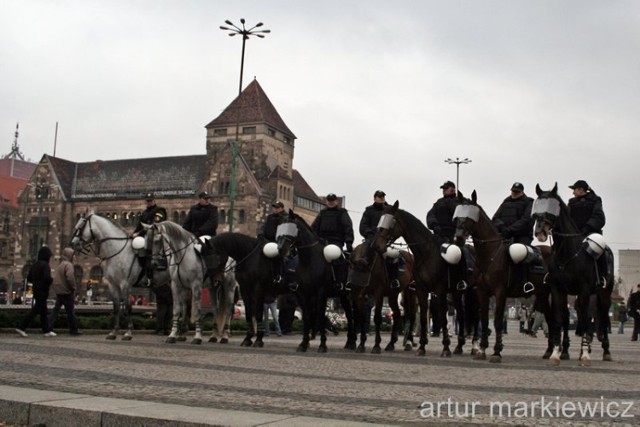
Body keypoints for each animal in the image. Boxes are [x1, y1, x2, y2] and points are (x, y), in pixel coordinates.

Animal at [71, 213, 169, 342]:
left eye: (81, 226)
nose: (73, 243)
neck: (117, 251)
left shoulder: (125, 285)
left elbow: (128, 307)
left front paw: (128, 332)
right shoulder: (113, 285)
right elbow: (116, 307)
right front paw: (114, 332)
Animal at [276, 211, 356, 354]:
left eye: (291, 226)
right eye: (280, 226)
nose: (281, 249)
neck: (309, 260)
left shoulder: (321, 292)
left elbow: (320, 316)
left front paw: (322, 345)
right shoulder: (303, 294)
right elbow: (307, 316)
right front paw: (303, 343)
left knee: (352, 316)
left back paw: (352, 343)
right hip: (342, 296)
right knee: (349, 314)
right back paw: (348, 342)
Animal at [532, 184, 612, 368]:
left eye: (552, 208)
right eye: (537, 206)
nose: (539, 233)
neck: (567, 254)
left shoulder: (584, 290)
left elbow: (585, 320)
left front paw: (585, 355)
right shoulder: (558, 290)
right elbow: (558, 319)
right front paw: (556, 353)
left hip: (603, 294)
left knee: (603, 318)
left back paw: (605, 351)